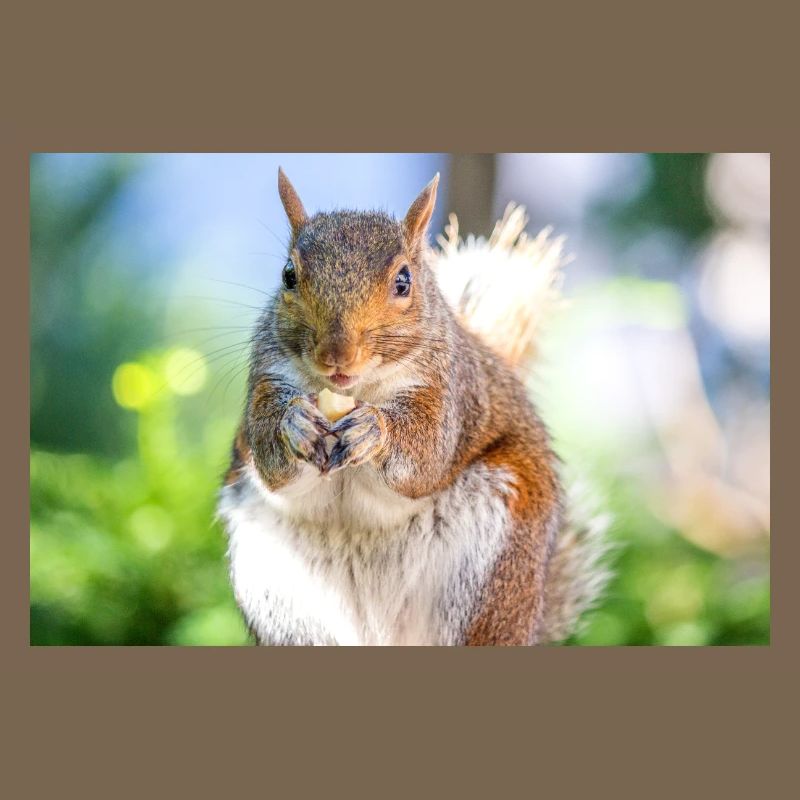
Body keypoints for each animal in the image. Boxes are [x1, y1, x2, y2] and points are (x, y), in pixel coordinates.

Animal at [217, 168, 610, 646]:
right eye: (288, 275)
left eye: (403, 281)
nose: (336, 355)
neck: (359, 390)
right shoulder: (267, 378)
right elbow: (271, 458)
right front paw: (294, 424)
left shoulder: (449, 393)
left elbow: (425, 456)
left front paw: (374, 430)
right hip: (283, 599)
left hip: (493, 576)